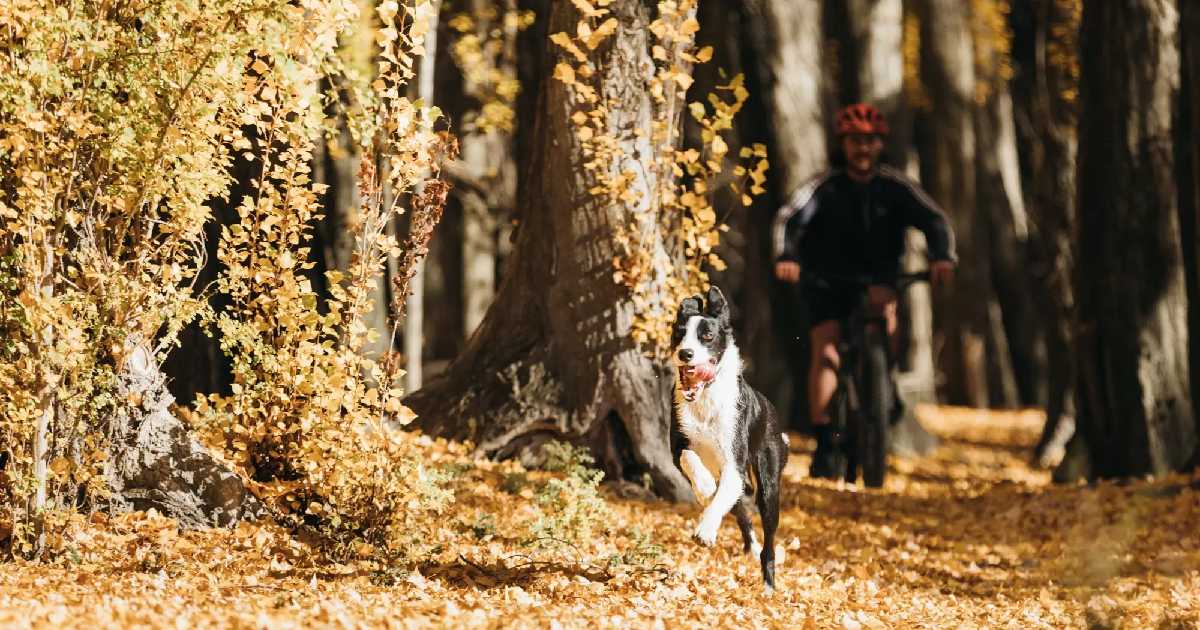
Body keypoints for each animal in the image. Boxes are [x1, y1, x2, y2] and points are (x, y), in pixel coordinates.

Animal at [672, 284, 792, 590]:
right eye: (679, 333)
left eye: (707, 336)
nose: (685, 353)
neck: (705, 397)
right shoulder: (677, 444)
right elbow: (689, 458)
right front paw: (703, 487)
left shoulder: (734, 465)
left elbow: (722, 496)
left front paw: (705, 531)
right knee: (741, 513)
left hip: (769, 486)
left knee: (768, 540)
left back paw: (768, 585)